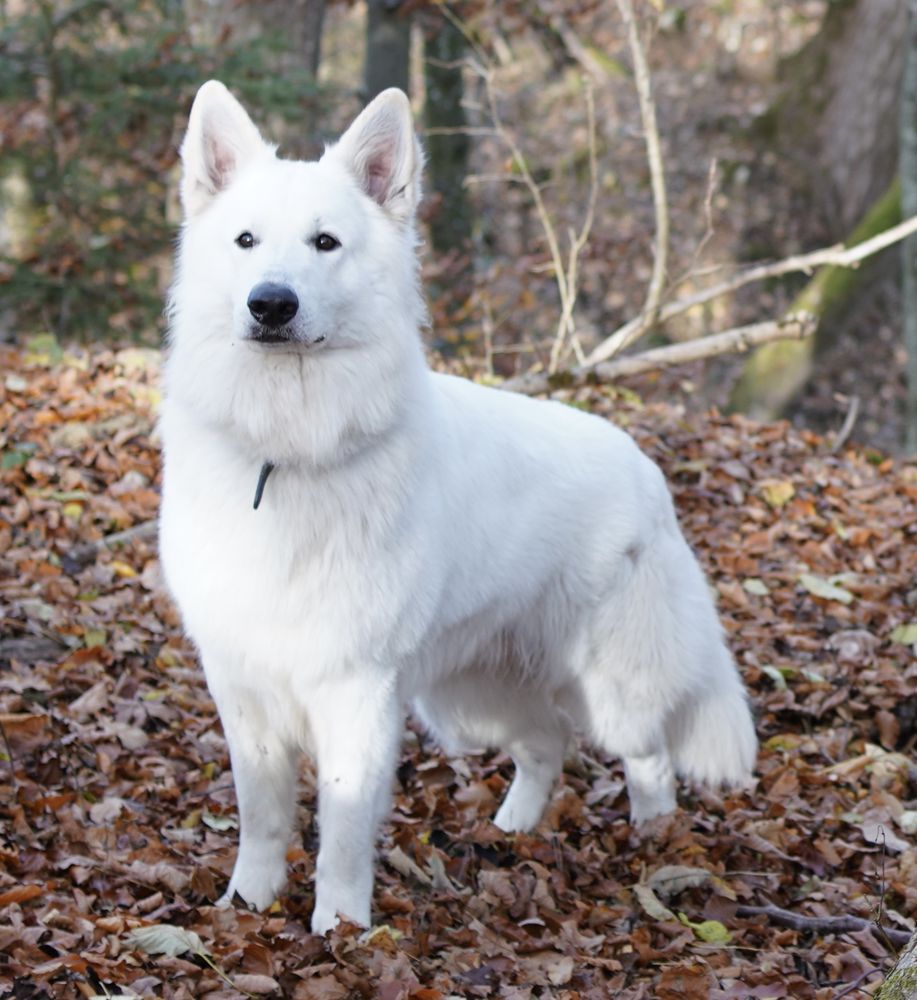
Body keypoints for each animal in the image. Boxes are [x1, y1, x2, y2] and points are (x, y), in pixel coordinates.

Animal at [161, 82, 756, 932]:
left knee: (645, 756)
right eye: (246, 241)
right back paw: (510, 831)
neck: (291, 447)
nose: (269, 304)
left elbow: (342, 826)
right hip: (469, 695)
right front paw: (247, 904)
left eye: (325, 243)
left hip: (609, 686)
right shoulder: (243, 688)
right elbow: (262, 815)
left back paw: (653, 842)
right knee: (545, 744)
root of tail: (644, 468)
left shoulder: (357, 691)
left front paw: (339, 930)